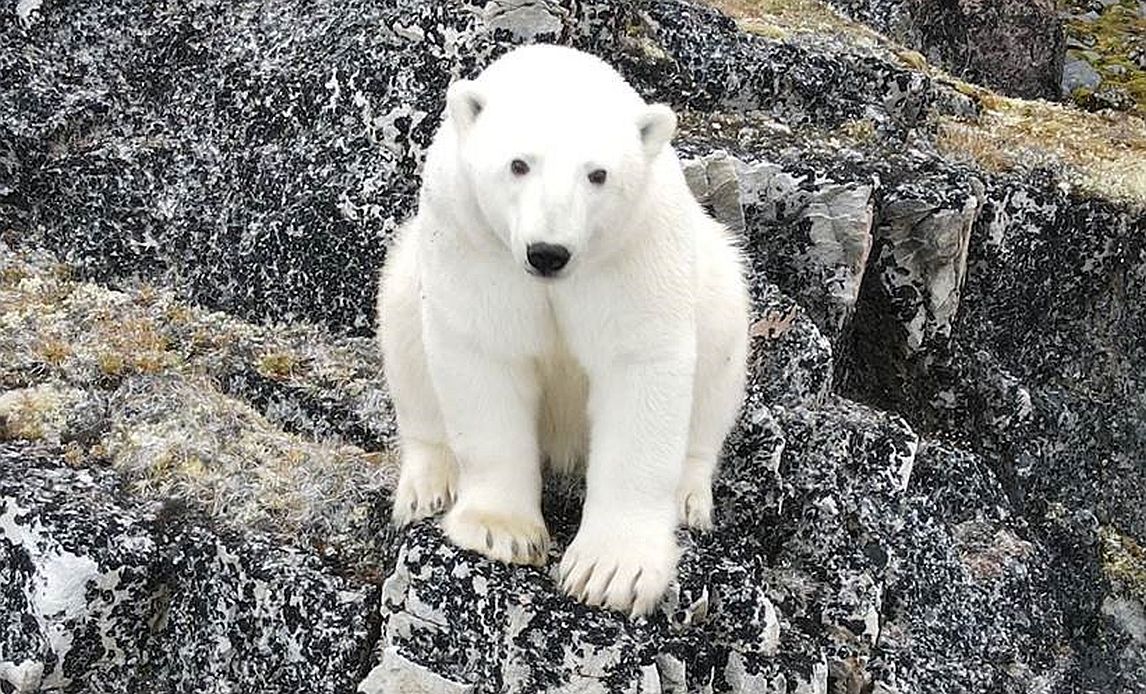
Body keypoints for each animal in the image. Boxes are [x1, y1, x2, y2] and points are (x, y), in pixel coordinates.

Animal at [378, 43, 751, 618]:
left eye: (598, 174)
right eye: (518, 164)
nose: (548, 252)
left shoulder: (632, 251)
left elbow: (637, 367)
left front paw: (611, 571)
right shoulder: (473, 240)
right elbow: (486, 353)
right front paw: (499, 532)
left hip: (715, 283)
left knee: (720, 353)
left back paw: (688, 496)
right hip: (414, 274)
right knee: (403, 325)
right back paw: (429, 484)